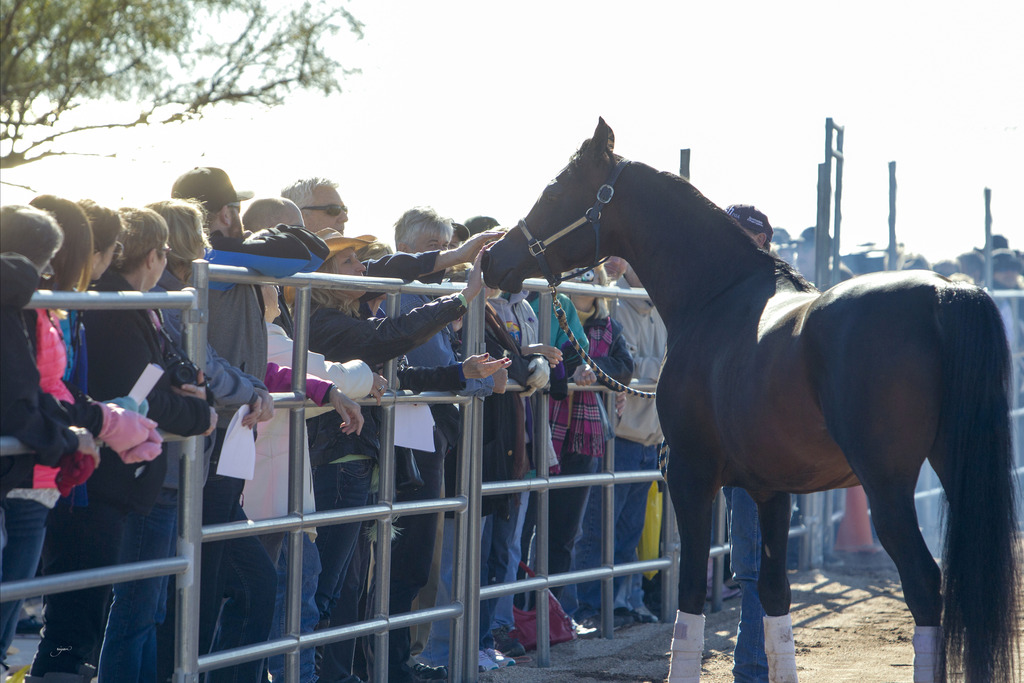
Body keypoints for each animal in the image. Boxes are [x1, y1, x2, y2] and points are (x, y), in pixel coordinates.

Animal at [481, 118, 1020, 683]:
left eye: (554, 191)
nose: (492, 258)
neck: (718, 297)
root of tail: (944, 294)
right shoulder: (772, 488)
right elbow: (774, 594)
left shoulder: (690, 474)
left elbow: (690, 591)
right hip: (954, 464)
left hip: (886, 484)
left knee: (923, 584)